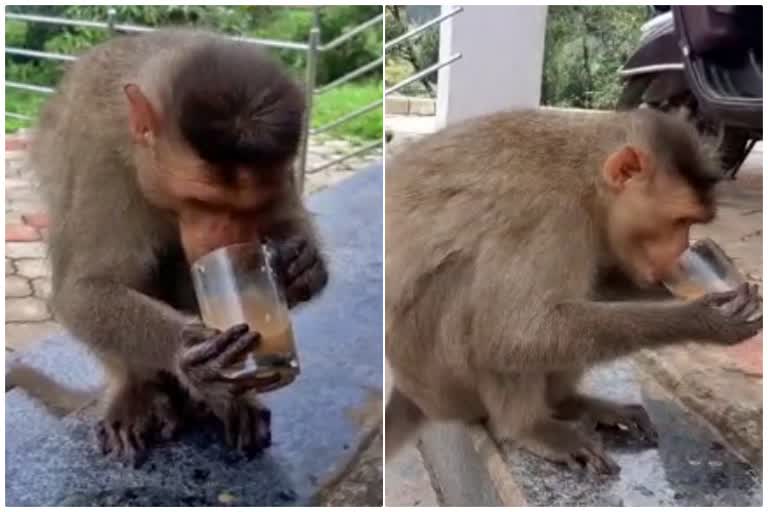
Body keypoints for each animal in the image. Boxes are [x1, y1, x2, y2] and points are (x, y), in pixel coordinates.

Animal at [24, 28, 328, 466]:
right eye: (202, 202)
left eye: (249, 207)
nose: (224, 239)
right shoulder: (100, 160)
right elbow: (81, 291)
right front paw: (188, 350)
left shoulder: (281, 167)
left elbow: (285, 221)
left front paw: (301, 267)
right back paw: (138, 390)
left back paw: (225, 402)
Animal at [388, 109, 760, 476]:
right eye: (679, 221)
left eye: (693, 223)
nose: (683, 249)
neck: (587, 183)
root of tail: (411, 393)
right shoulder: (548, 214)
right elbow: (513, 333)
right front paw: (703, 318)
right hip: (445, 384)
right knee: (480, 309)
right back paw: (527, 426)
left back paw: (568, 402)